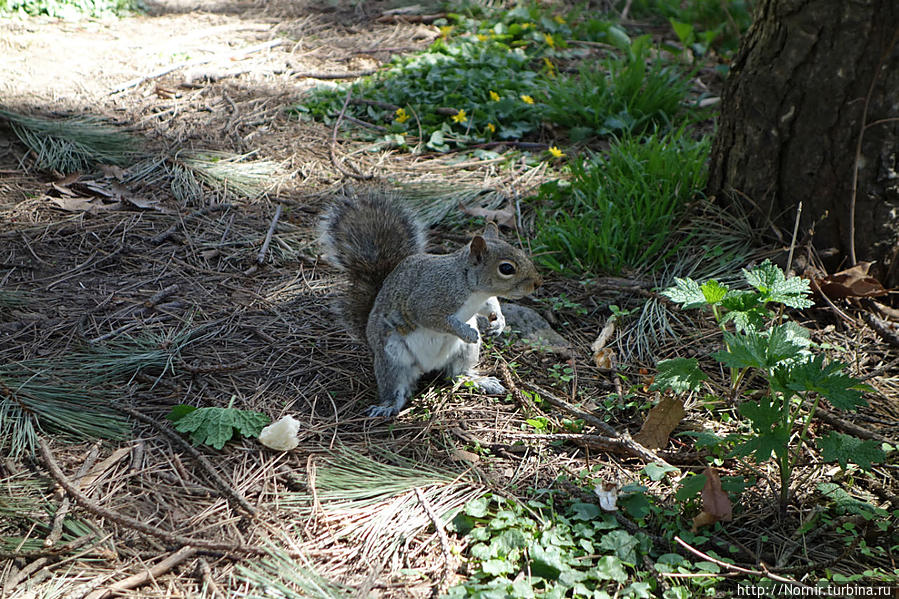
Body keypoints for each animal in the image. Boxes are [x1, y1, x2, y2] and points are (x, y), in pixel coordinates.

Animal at [318, 190, 540, 420]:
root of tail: (427, 367)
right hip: (392, 359)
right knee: (397, 387)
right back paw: (388, 405)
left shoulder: (483, 299)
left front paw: (499, 322)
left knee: (456, 374)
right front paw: (466, 331)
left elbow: (491, 305)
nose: (537, 283)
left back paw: (479, 380)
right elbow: (435, 320)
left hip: (465, 352)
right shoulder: (429, 299)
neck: (471, 286)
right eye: (506, 268)